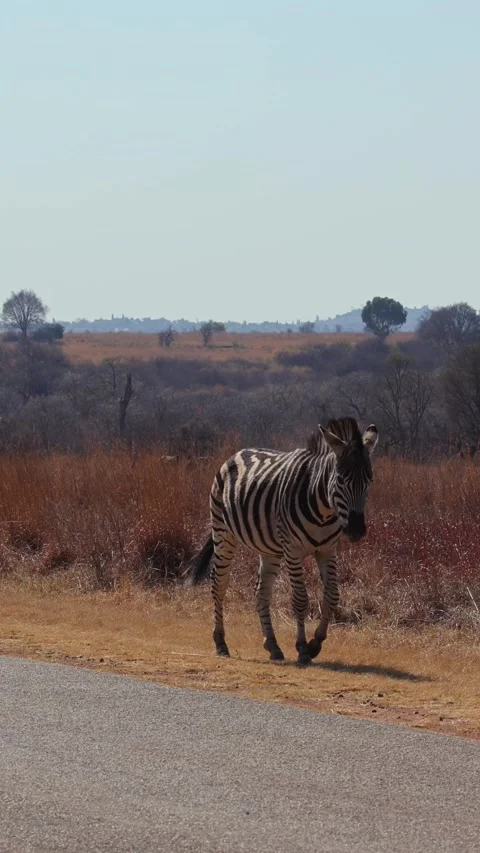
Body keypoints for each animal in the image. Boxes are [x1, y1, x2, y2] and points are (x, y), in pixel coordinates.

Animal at [187, 417, 378, 665]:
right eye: (340, 479)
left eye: (369, 480)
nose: (356, 531)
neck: (324, 510)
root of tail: (238, 452)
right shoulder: (293, 550)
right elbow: (300, 599)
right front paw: (303, 648)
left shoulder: (327, 550)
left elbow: (332, 595)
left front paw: (316, 642)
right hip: (223, 533)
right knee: (219, 585)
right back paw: (221, 643)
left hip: (269, 549)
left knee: (261, 591)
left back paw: (273, 646)